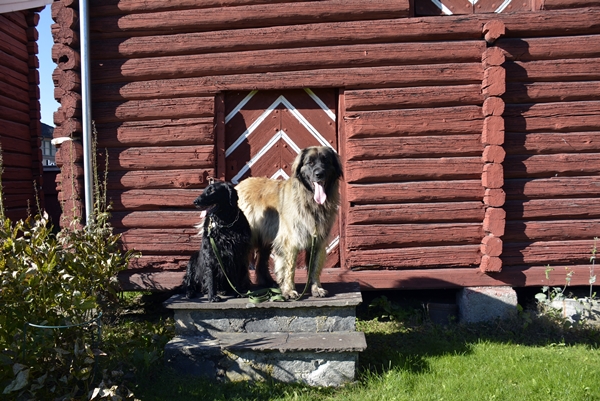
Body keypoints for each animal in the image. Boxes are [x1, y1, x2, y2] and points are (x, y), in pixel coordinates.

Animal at [237, 145, 344, 298]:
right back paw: (244, 285)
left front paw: (316, 288)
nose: (319, 174)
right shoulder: (290, 242)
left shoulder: (318, 242)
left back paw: (268, 282)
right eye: (310, 163)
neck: (310, 201)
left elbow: (315, 268)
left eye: (326, 161)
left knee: (261, 260)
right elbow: (289, 268)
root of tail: (238, 186)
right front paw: (288, 290)